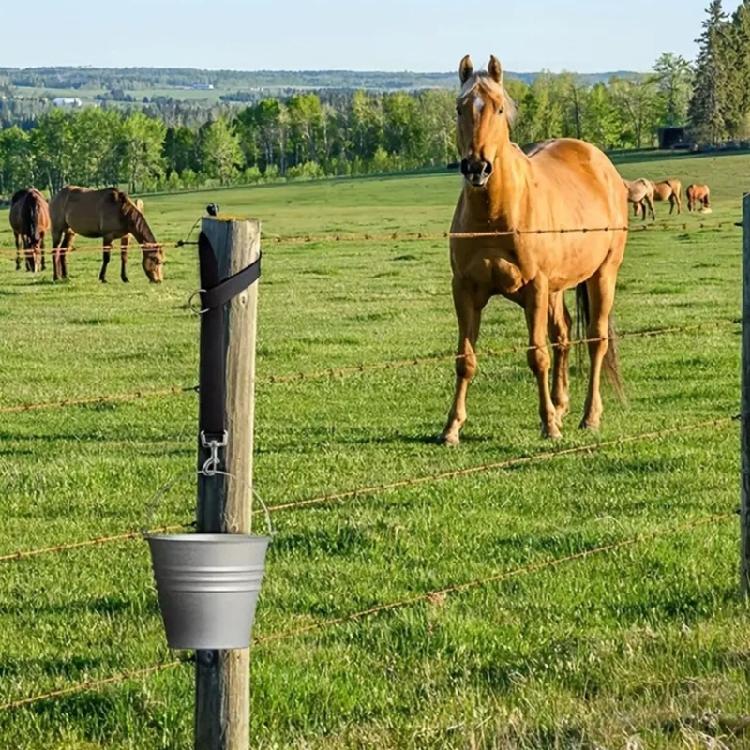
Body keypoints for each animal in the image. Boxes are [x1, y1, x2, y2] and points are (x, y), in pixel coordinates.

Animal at [441, 55, 627, 443]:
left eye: (498, 108)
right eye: (459, 108)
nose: (477, 167)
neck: (495, 213)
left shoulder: (535, 288)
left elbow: (537, 355)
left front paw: (548, 425)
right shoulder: (464, 289)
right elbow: (465, 359)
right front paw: (452, 427)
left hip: (603, 274)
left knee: (595, 339)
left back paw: (589, 416)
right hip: (557, 288)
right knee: (564, 335)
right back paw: (561, 405)